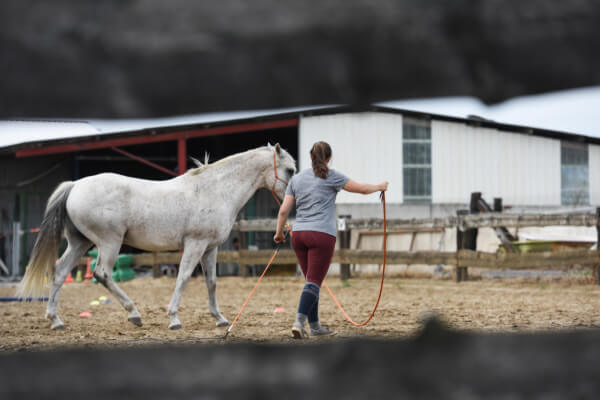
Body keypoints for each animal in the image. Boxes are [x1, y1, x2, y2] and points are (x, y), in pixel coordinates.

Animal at [14, 144, 296, 332]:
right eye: (290, 170)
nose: (291, 205)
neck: (215, 190)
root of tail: (75, 185)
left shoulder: (210, 249)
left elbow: (212, 283)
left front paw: (220, 319)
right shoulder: (195, 245)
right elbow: (183, 278)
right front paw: (174, 319)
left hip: (80, 243)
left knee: (60, 272)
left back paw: (56, 321)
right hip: (109, 243)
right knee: (103, 274)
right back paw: (134, 314)